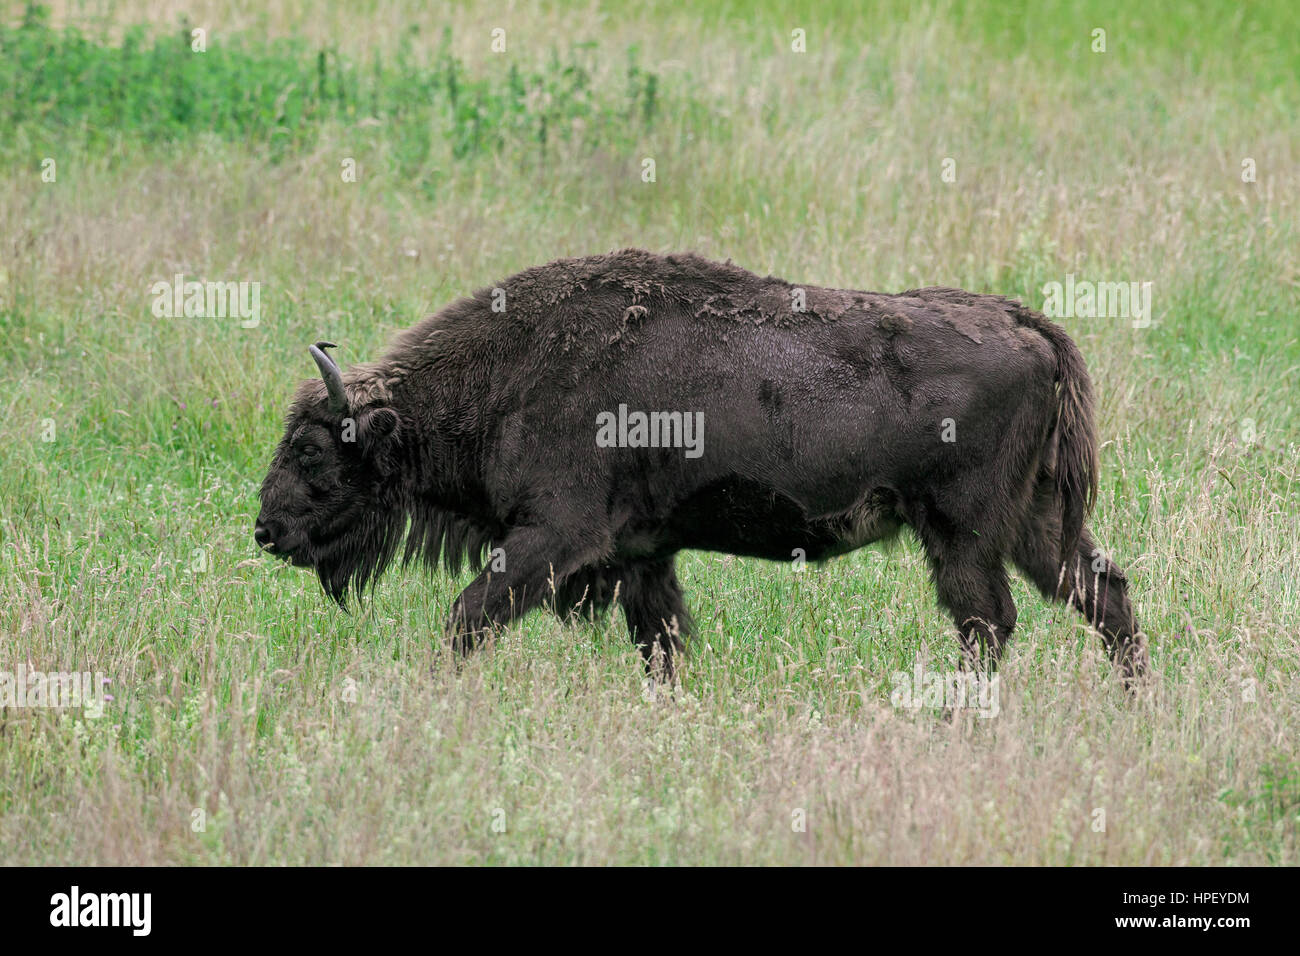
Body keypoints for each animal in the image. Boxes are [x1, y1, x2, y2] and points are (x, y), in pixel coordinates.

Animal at [256, 247, 1149, 681]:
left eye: (311, 449)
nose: (265, 530)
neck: (514, 372)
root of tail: (1028, 324)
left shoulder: (552, 539)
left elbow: (467, 618)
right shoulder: (643, 557)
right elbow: (661, 645)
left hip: (963, 536)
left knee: (988, 624)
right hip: (1036, 527)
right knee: (1103, 595)